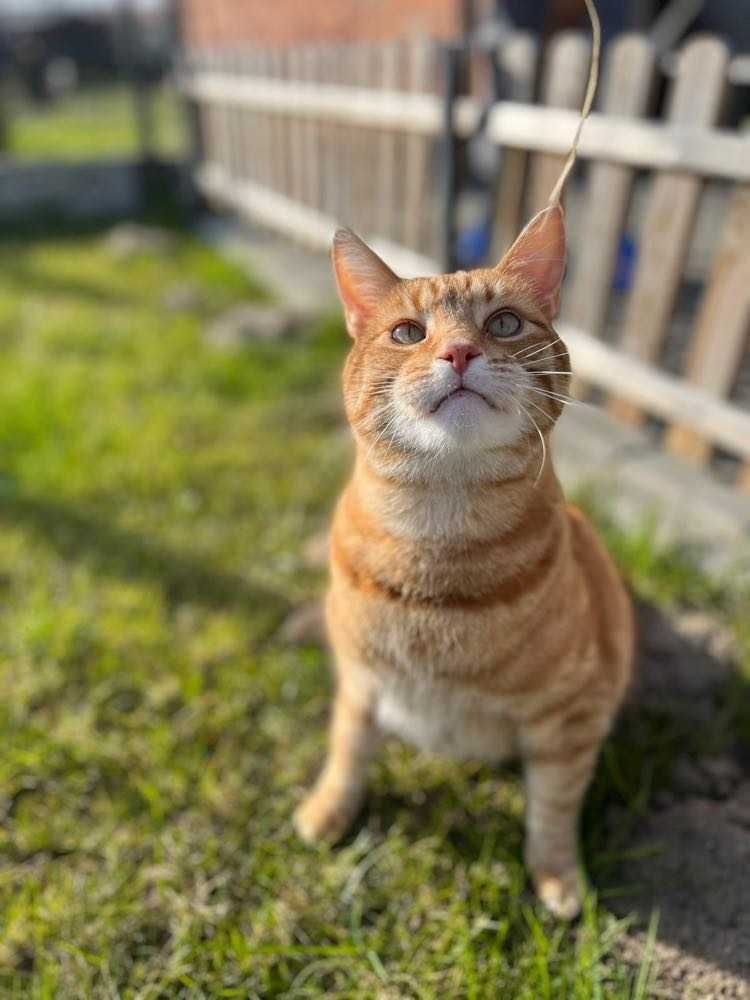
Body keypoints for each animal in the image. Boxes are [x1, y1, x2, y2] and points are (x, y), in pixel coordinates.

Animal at [296, 207, 636, 916]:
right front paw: (328, 811)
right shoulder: (359, 684)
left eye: (503, 323)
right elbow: (346, 750)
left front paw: (558, 878)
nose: (458, 353)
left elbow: (553, 810)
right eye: (408, 332)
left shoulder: (572, 721)